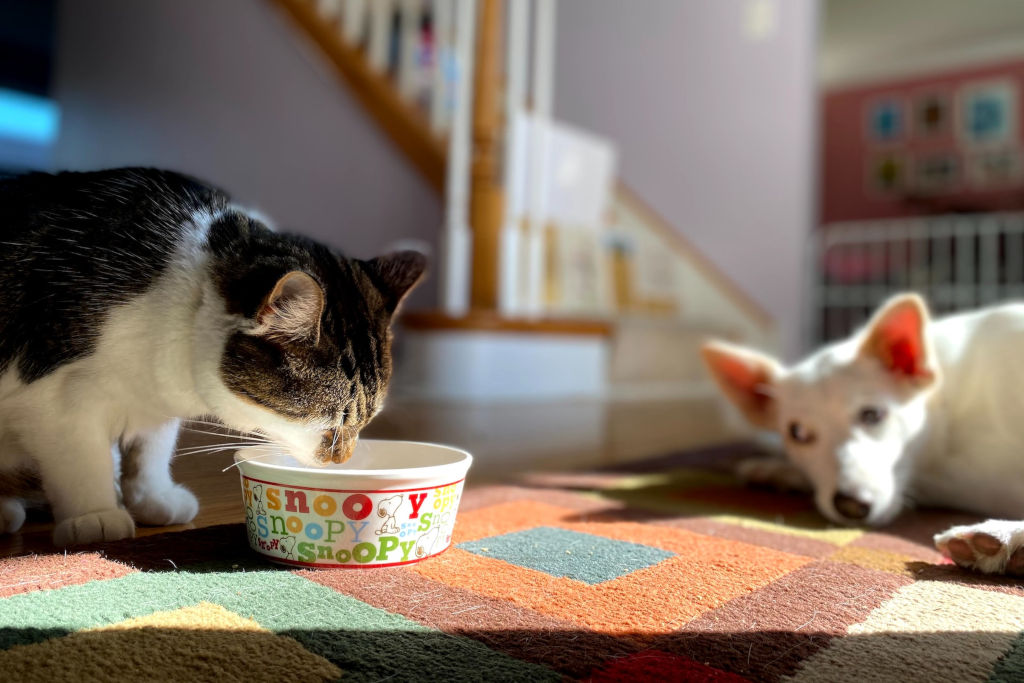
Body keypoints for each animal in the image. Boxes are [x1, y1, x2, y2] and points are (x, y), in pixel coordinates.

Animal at [0, 167, 423, 548]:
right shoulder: (56, 399)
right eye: (330, 419)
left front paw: (153, 498)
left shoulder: (153, 401)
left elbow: (150, 449)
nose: (342, 460)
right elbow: (81, 459)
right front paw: (95, 514)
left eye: (367, 420)